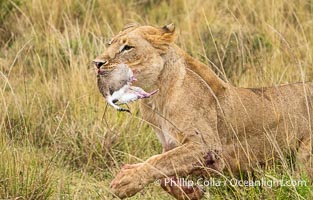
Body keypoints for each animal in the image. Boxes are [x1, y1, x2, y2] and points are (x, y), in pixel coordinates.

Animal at [93, 23, 312, 198]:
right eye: (110, 44)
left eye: (127, 47)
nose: (97, 63)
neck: (157, 99)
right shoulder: (171, 144)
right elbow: (166, 170)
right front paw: (188, 191)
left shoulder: (207, 146)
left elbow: (160, 161)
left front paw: (126, 180)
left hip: (304, 156)